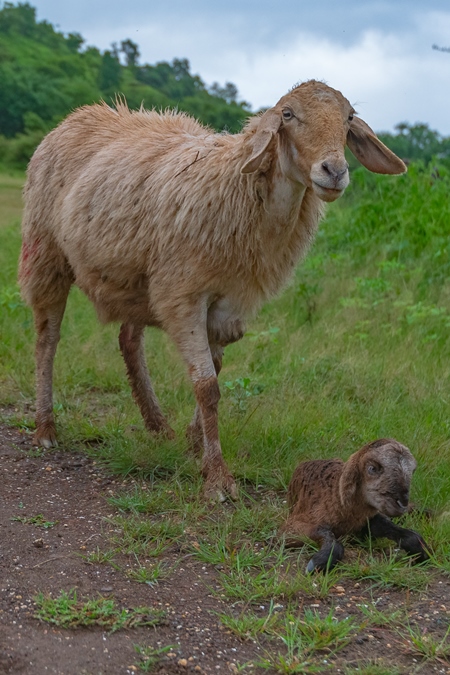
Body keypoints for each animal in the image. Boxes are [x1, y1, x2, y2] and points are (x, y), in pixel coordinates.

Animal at [17, 79, 406, 502]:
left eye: (349, 117)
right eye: (287, 115)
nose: (334, 171)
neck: (239, 184)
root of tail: (81, 114)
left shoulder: (228, 302)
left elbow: (216, 373)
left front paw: (194, 444)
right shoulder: (183, 294)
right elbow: (207, 386)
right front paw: (218, 477)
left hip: (139, 279)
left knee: (128, 339)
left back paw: (158, 426)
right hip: (46, 251)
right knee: (47, 339)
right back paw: (45, 428)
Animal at [280, 436, 430, 572]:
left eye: (412, 472)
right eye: (372, 468)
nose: (402, 502)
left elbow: (394, 529)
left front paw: (422, 552)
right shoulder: (290, 529)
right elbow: (328, 536)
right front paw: (318, 563)